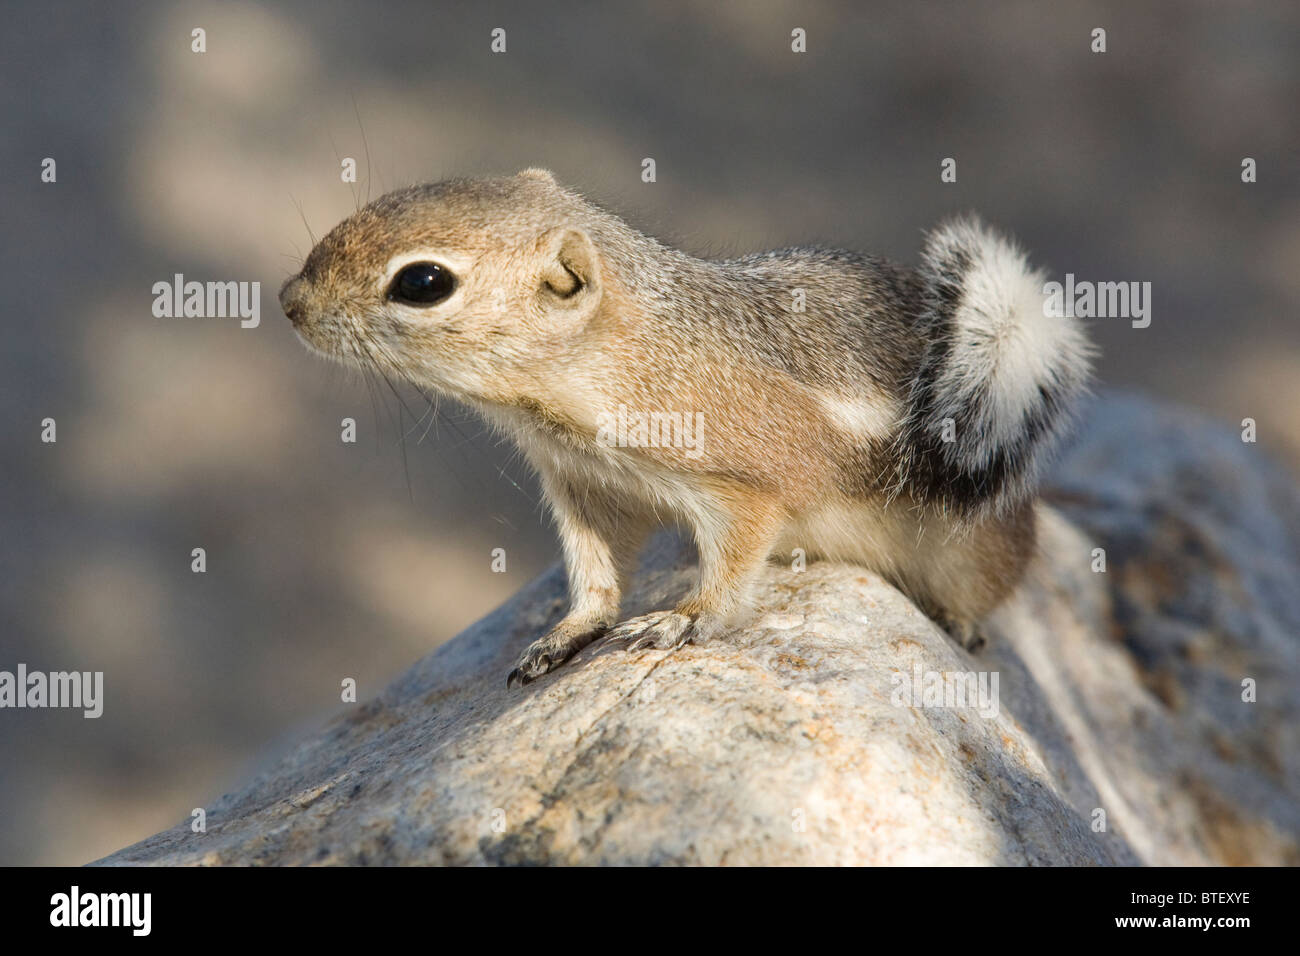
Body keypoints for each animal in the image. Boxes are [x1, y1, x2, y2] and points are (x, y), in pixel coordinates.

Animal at [279, 167, 1092, 686]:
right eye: (393, 197)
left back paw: (961, 622)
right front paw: (570, 632)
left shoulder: (744, 488)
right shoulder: (584, 487)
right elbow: (594, 571)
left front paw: (679, 620)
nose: (289, 301)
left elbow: (731, 571)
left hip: (971, 548)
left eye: (423, 282)